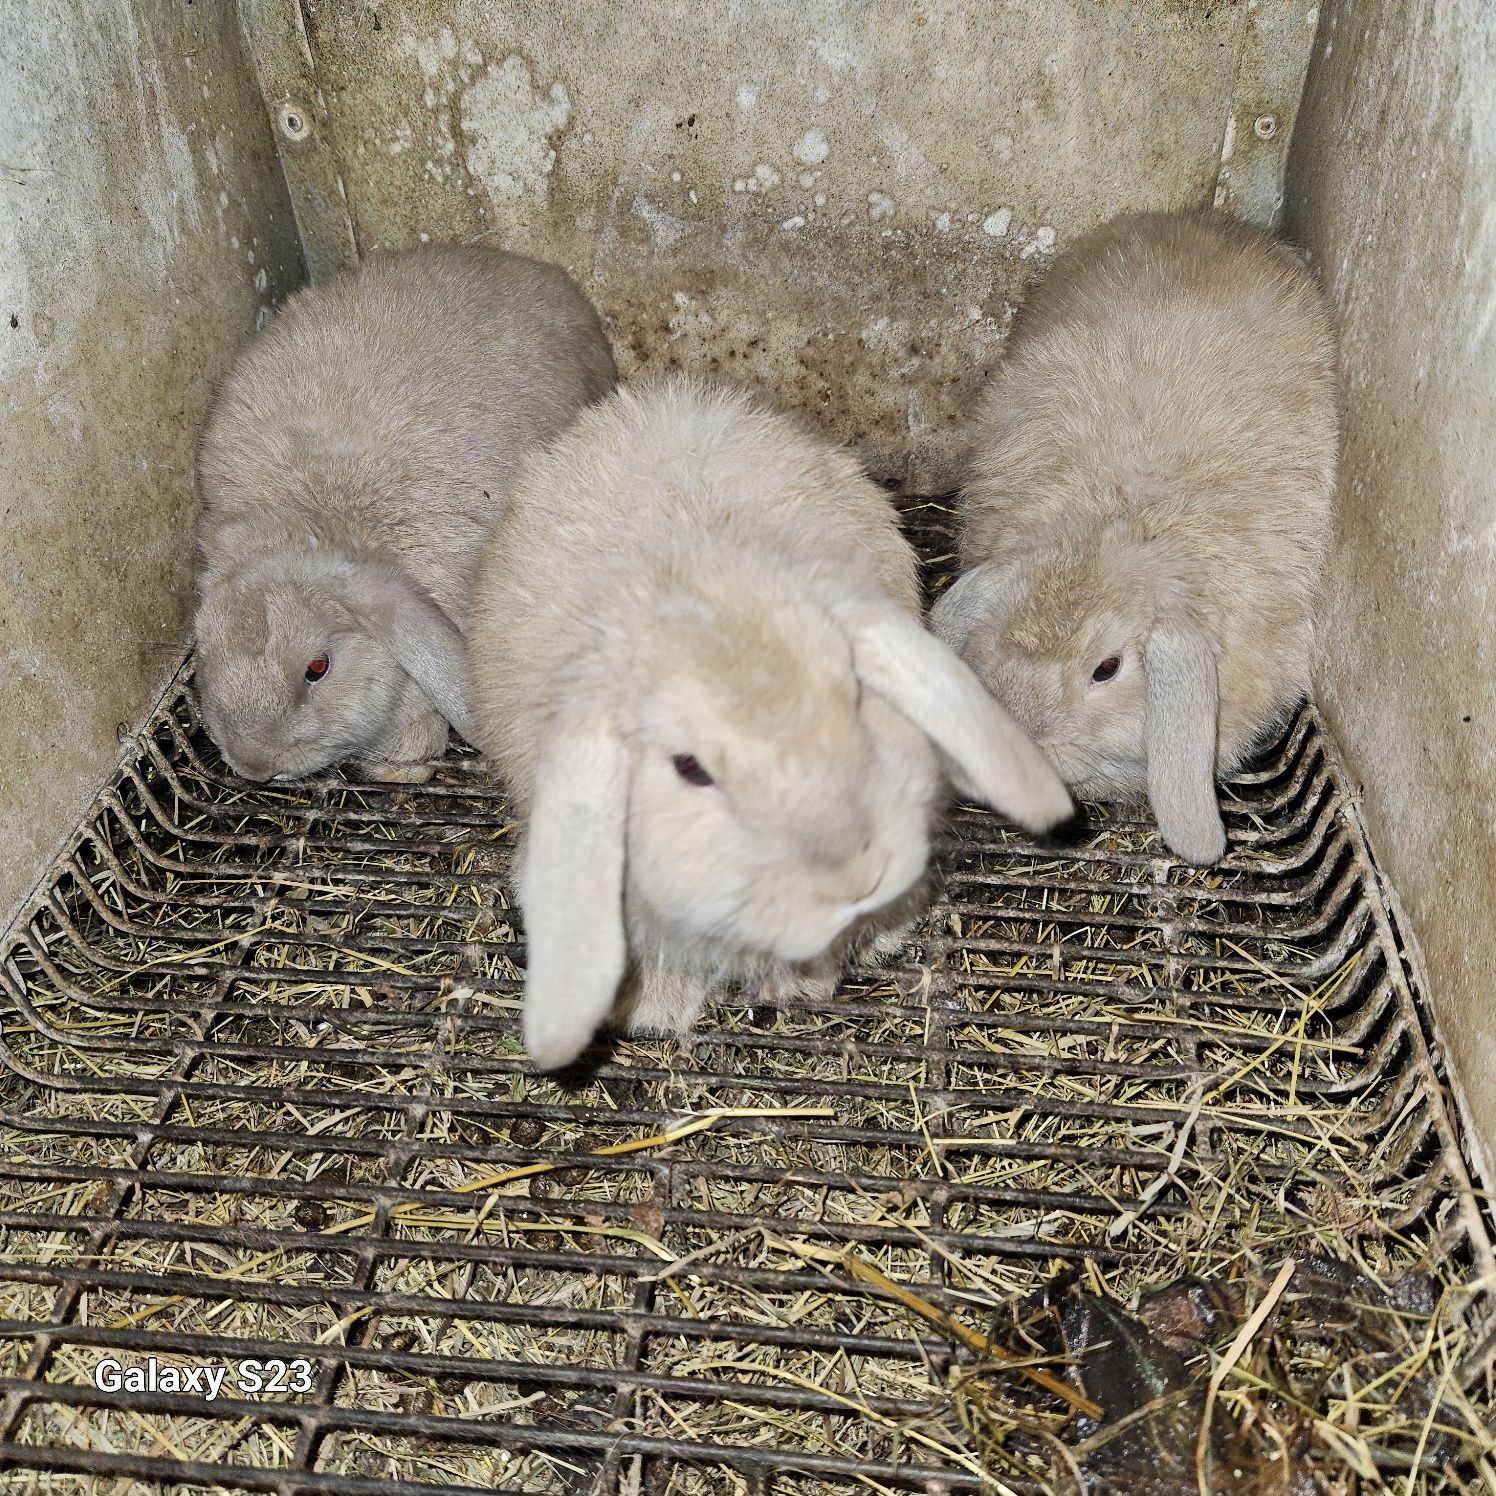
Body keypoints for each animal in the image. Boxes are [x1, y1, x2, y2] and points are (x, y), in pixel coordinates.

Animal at [195, 245, 616, 783]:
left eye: (318, 668)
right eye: (205, 650)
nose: (253, 766)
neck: (316, 516)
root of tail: (544, 274)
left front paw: (400, 765)